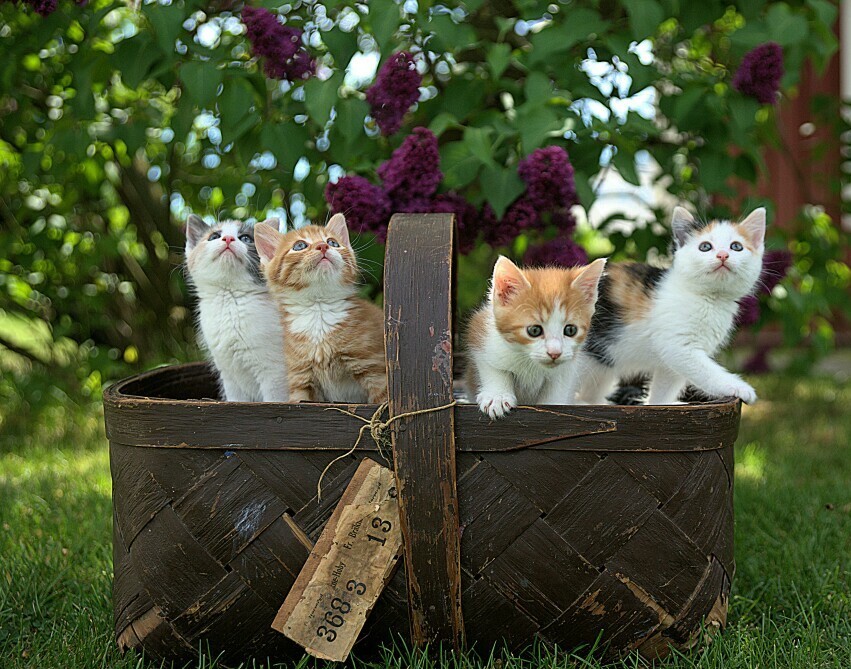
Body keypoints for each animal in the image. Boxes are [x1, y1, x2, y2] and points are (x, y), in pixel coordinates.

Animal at [183, 217, 290, 400]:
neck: (230, 299)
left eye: (246, 238)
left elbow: (274, 400)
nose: (228, 239)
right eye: (214, 236)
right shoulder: (229, 376)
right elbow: (236, 400)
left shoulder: (275, 373)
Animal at [251, 214, 388, 402]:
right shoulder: (300, 378)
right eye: (299, 246)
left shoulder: (375, 370)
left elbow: (383, 402)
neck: (319, 309)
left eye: (333, 242)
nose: (323, 246)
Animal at [466, 256, 604, 418]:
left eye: (570, 330)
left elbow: (558, 385)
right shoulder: (482, 333)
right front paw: (497, 396)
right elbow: (493, 367)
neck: (530, 362)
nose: (555, 353)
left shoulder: (568, 366)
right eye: (534, 330)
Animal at [580, 206, 764, 404]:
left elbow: (664, 389)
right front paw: (739, 387)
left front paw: (657, 405)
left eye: (736, 246)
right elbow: (707, 372)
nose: (723, 255)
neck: (709, 299)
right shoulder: (678, 347)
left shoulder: (671, 364)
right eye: (705, 247)